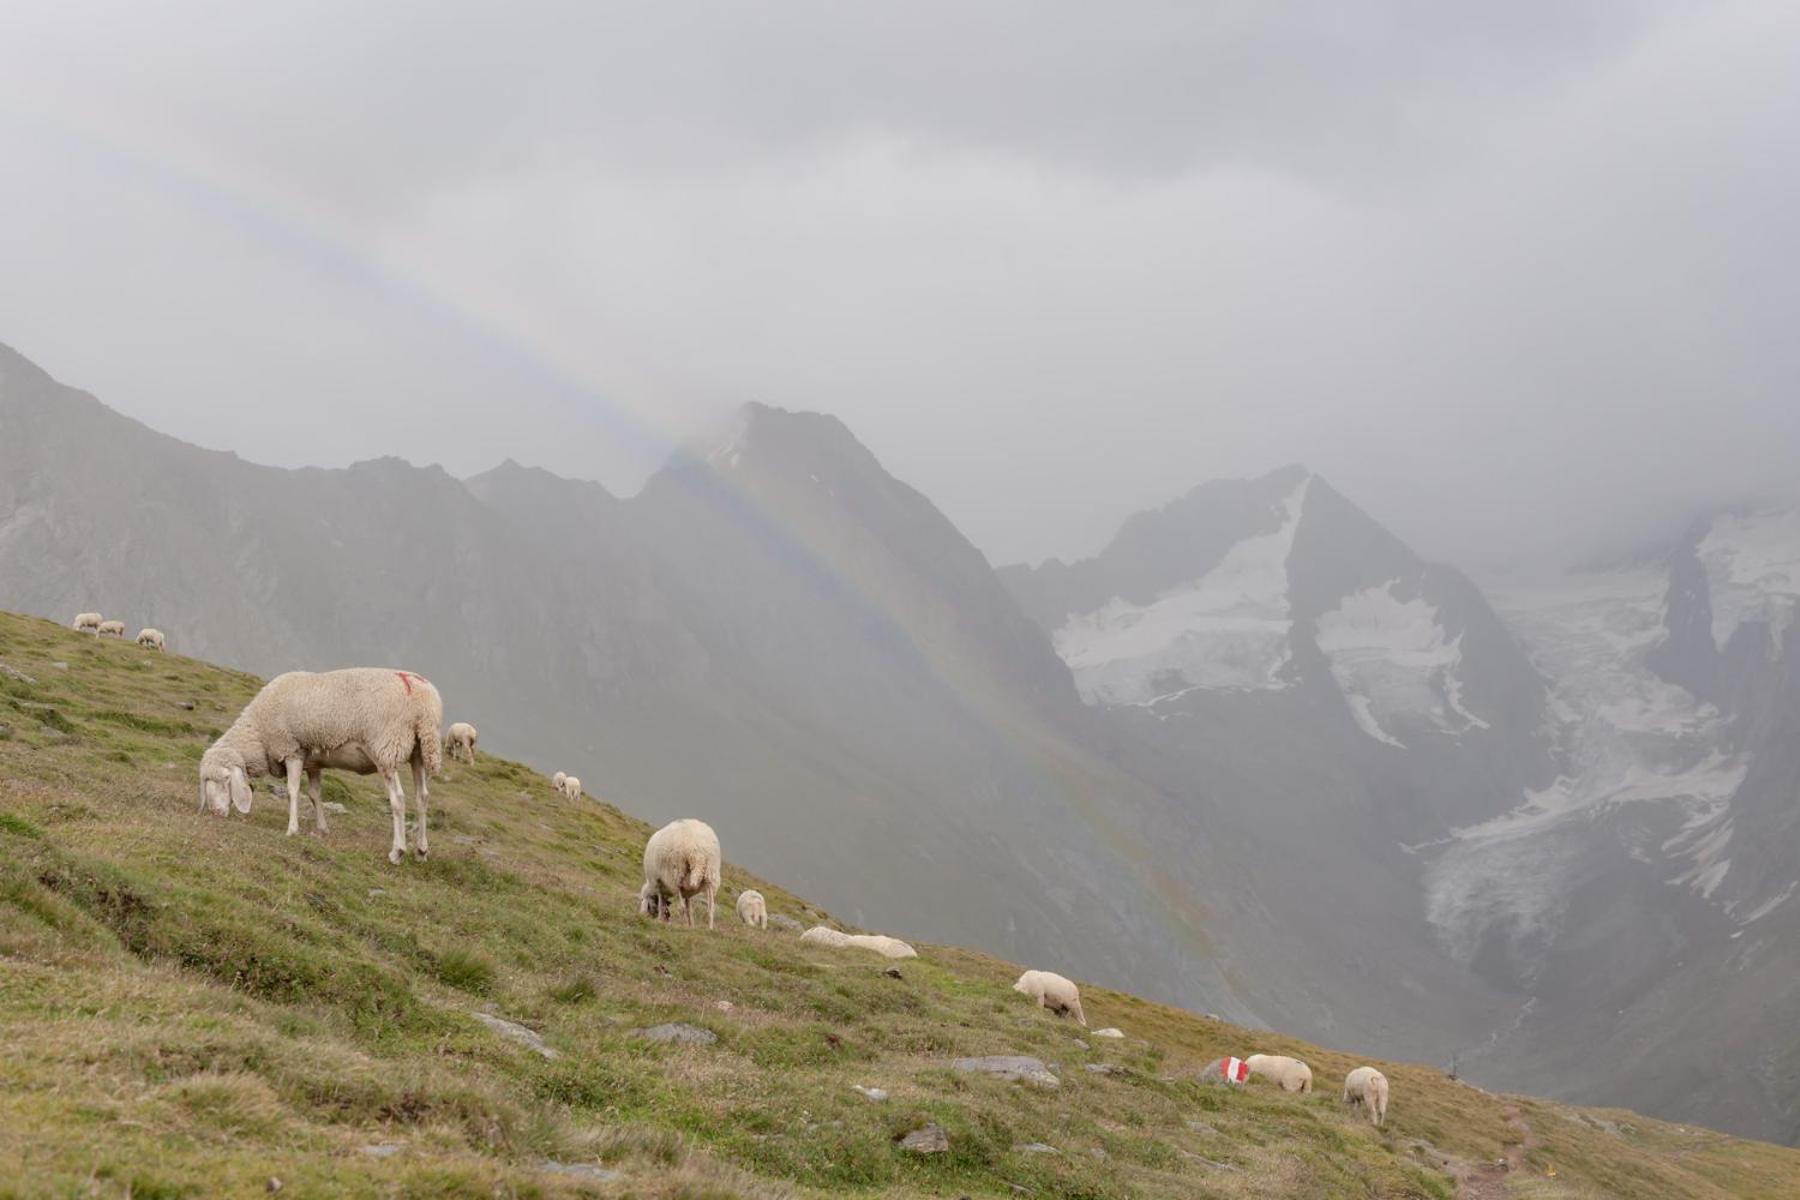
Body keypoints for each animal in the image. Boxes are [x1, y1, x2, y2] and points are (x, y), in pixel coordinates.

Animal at [198, 665, 444, 863]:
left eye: (224, 780)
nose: (215, 813)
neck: (258, 734)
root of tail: (423, 698)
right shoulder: (313, 762)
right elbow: (315, 794)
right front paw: (322, 829)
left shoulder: (292, 750)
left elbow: (293, 791)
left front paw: (292, 829)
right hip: (418, 751)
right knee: (422, 797)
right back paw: (421, 851)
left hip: (387, 747)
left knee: (398, 799)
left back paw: (397, 852)